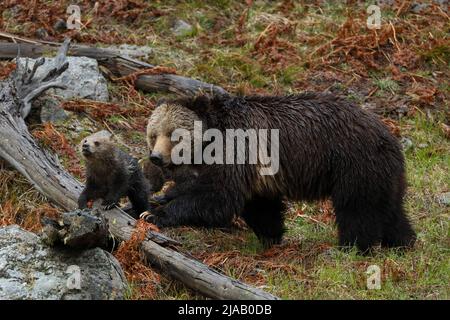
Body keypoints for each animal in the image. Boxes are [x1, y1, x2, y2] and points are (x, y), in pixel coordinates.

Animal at [144, 93, 414, 252]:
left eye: (173, 135)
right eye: (154, 134)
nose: (155, 157)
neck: (211, 140)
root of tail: (388, 134)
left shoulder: (237, 149)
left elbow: (218, 198)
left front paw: (155, 213)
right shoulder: (256, 173)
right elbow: (261, 206)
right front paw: (271, 237)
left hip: (353, 164)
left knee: (357, 211)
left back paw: (351, 247)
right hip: (383, 174)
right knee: (389, 209)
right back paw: (402, 242)